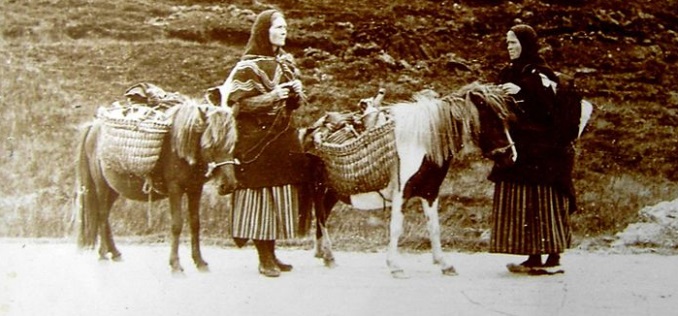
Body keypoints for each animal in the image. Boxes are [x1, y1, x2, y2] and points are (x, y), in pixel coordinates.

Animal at [74, 100, 238, 272]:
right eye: (210, 145)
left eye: (232, 144)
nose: (229, 185)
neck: (180, 147)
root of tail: (93, 126)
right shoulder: (175, 189)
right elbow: (177, 225)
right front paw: (175, 265)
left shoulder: (195, 189)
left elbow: (195, 223)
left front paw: (199, 262)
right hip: (102, 187)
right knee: (102, 215)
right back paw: (103, 254)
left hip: (114, 189)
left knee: (104, 217)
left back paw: (115, 253)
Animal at [306, 82, 516, 278]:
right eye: (494, 121)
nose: (512, 156)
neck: (421, 145)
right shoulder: (402, 193)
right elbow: (396, 227)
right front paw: (395, 266)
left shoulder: (430, 193)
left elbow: (434, 228)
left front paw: (444, 264)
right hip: (319, 188)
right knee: (321, 217)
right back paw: (329, 256)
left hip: (333, 191)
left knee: (323, 215)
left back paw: (322, 254)